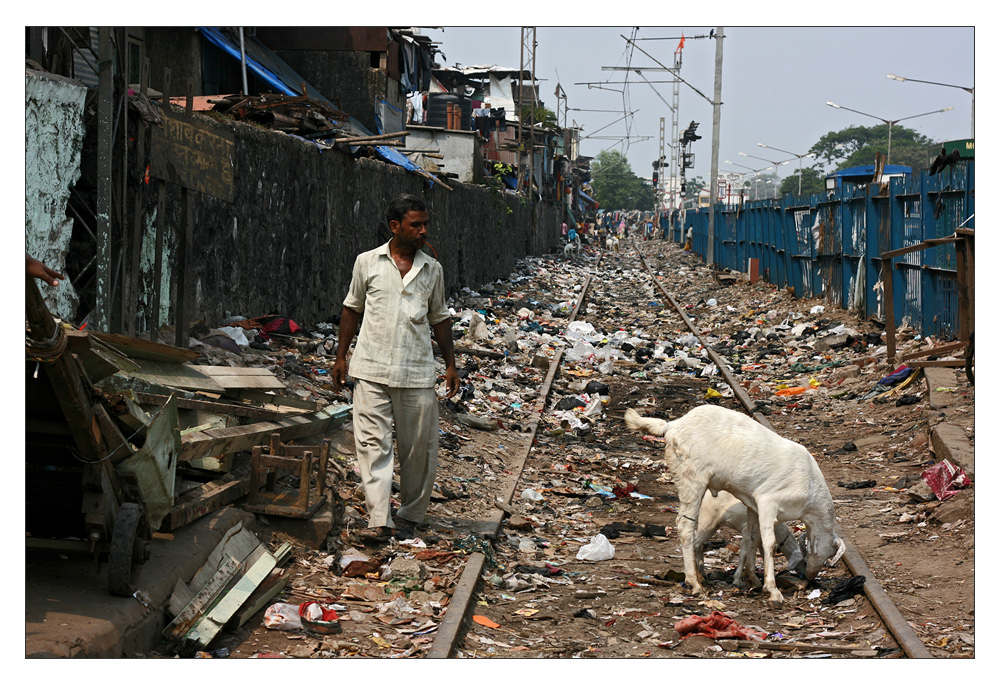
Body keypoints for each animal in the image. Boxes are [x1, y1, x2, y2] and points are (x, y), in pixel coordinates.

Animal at [624, 406, 844, 604]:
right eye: (829, 554)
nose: (810, 576)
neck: (811, 493)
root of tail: (673, 425)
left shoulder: (753, 505)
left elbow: (753, 540)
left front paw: (752, 580)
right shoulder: (768, 501)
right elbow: (769, 543)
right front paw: (773, 591)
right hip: (691, 479)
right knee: (685, 526)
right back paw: (694, 582)